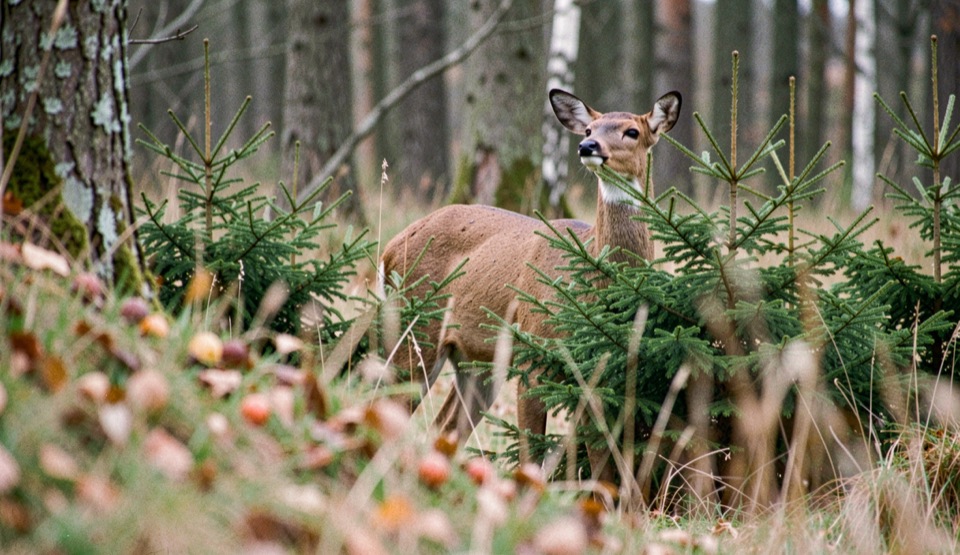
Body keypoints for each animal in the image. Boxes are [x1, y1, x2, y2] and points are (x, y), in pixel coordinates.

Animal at [380, 88, 681, 475]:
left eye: (632, 131)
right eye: (589, 127)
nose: (587, 146)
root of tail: (389, 248)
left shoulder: (602, 373)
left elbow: (603, 458)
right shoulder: (534, 355)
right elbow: (530, 455)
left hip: (472, 358)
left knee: (444, 426)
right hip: (415, 329)